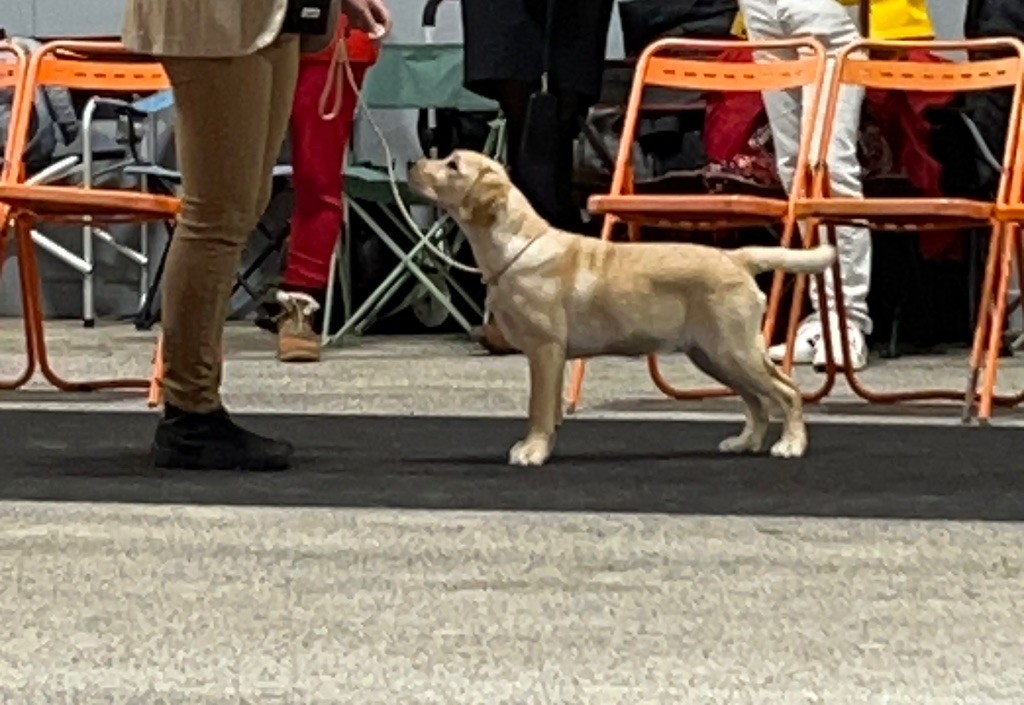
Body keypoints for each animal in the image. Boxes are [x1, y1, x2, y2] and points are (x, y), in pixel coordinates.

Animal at [403, 149, 835, 467]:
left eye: (453, 165)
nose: (410, 164)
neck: (514, 246)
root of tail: (736, 257)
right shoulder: (549, 357)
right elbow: (550, 407)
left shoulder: (545, 350)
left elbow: (538, 407)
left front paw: (532, 451)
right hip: (713, 355)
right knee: (757, 402)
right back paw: (745, 443)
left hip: (734, 349)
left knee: (787, 391)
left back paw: (791, 445)